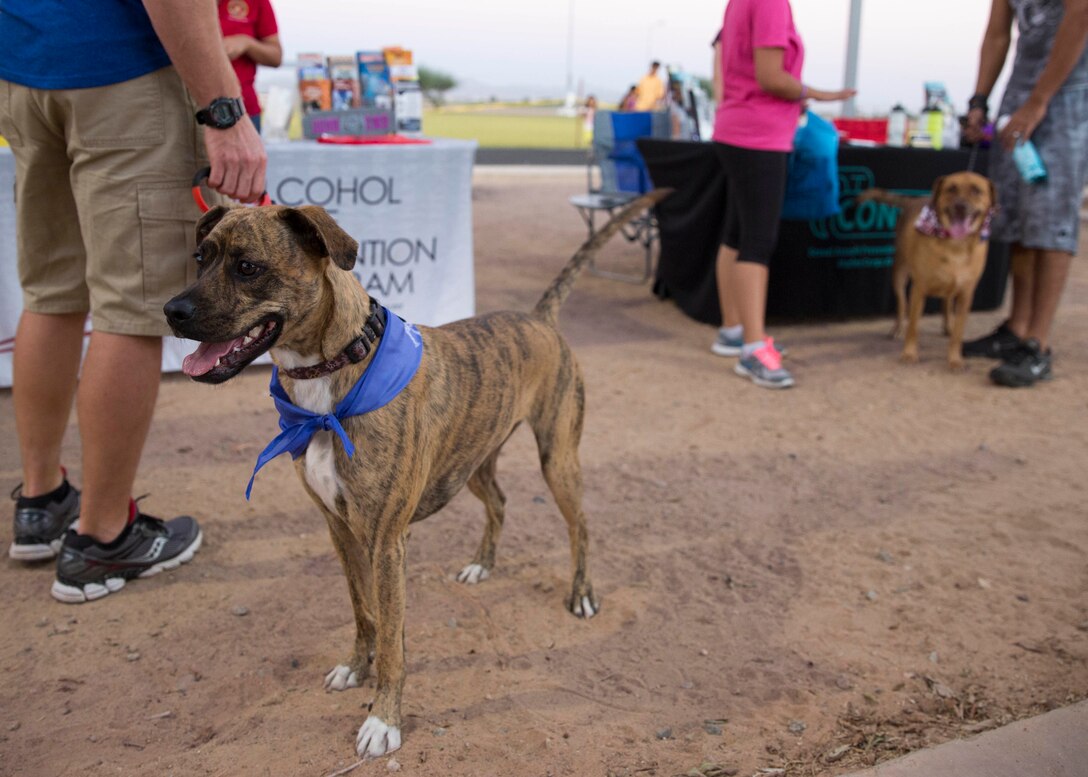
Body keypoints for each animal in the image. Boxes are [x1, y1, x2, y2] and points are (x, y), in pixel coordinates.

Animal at [165, 190, 665, 761]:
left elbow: (392, 640)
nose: (171, 312)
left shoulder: (385, 541)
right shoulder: (340, 531)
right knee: (500, 502)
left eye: (248, 267)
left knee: (580, 525)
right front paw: (356, 667)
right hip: (470, 462)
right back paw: (481, 564)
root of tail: (538, 318)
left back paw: (581, 593)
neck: (333, 378)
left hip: (556, 456)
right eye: (200, 257)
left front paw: (384, 720)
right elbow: (365, 614)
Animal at [857, 171, 996, 370]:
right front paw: (909, 354)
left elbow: (958, 333)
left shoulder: (966, 294)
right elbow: (913, 327)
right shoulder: (919, 290)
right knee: (902, 304)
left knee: (946, 304)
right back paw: (897, 328)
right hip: (899, 273)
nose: (961, 206)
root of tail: (912, 200)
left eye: (976, 190)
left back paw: (948, 326)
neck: (956, 246)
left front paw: (955, 359)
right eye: (951, 188)